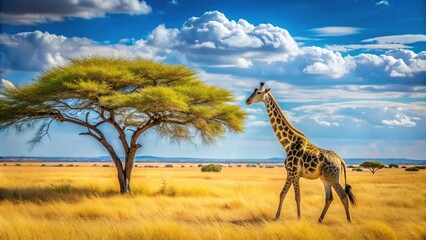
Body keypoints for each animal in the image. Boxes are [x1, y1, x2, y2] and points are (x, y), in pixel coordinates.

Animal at [245, 82, 358, 223]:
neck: (288, 143)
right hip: (325, 178)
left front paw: (298, 218)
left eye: (259, 92)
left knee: (343, 196)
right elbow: (282, 194)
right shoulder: (291, 173)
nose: (247, 101)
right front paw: (276, 217)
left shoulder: (294, 173)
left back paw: (349, 221)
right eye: (254, 91)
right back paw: (319, 220)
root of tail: (340, 160)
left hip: (333, 178)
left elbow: (297, 196)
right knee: (329, 198)